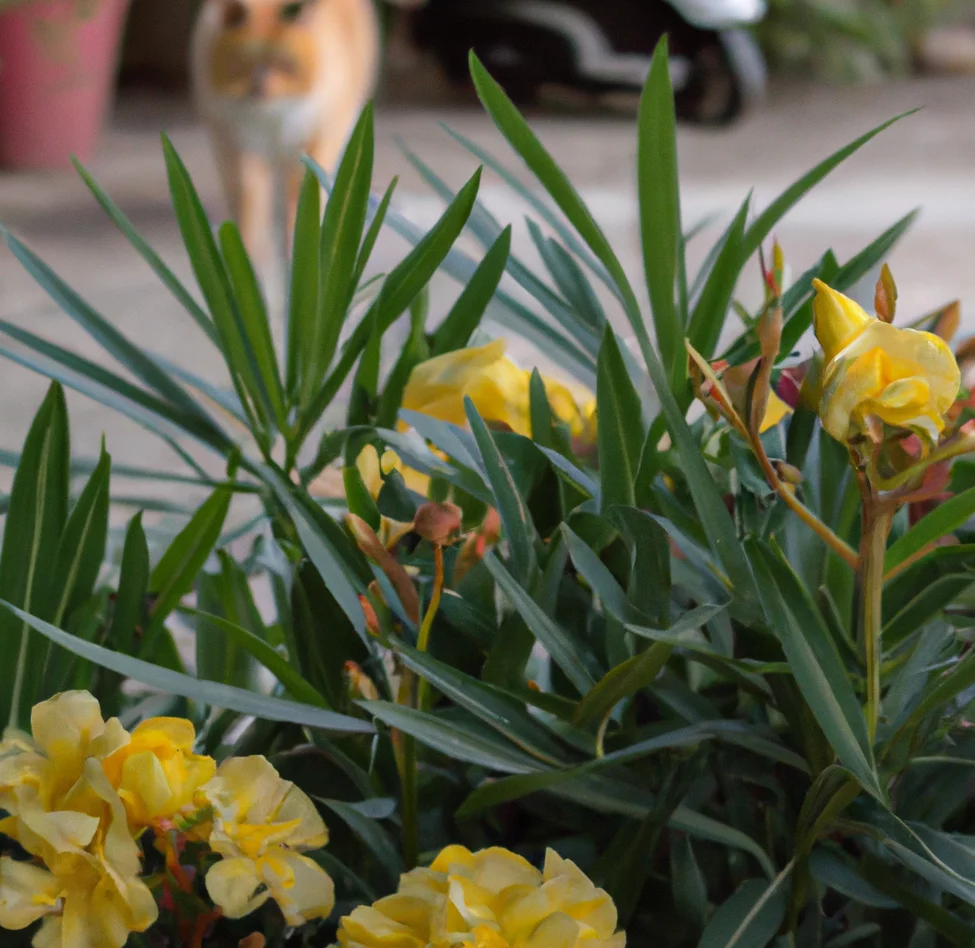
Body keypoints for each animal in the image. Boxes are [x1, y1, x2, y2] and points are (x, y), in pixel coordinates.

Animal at [193, 0, 382, 268]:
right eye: (243, 62)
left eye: (284, 64)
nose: (260, 86)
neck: (272, 118)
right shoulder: (239, 147)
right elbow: (249, 207)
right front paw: (245, 256)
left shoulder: (314, 142)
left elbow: (301, 201)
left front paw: (298, 251)